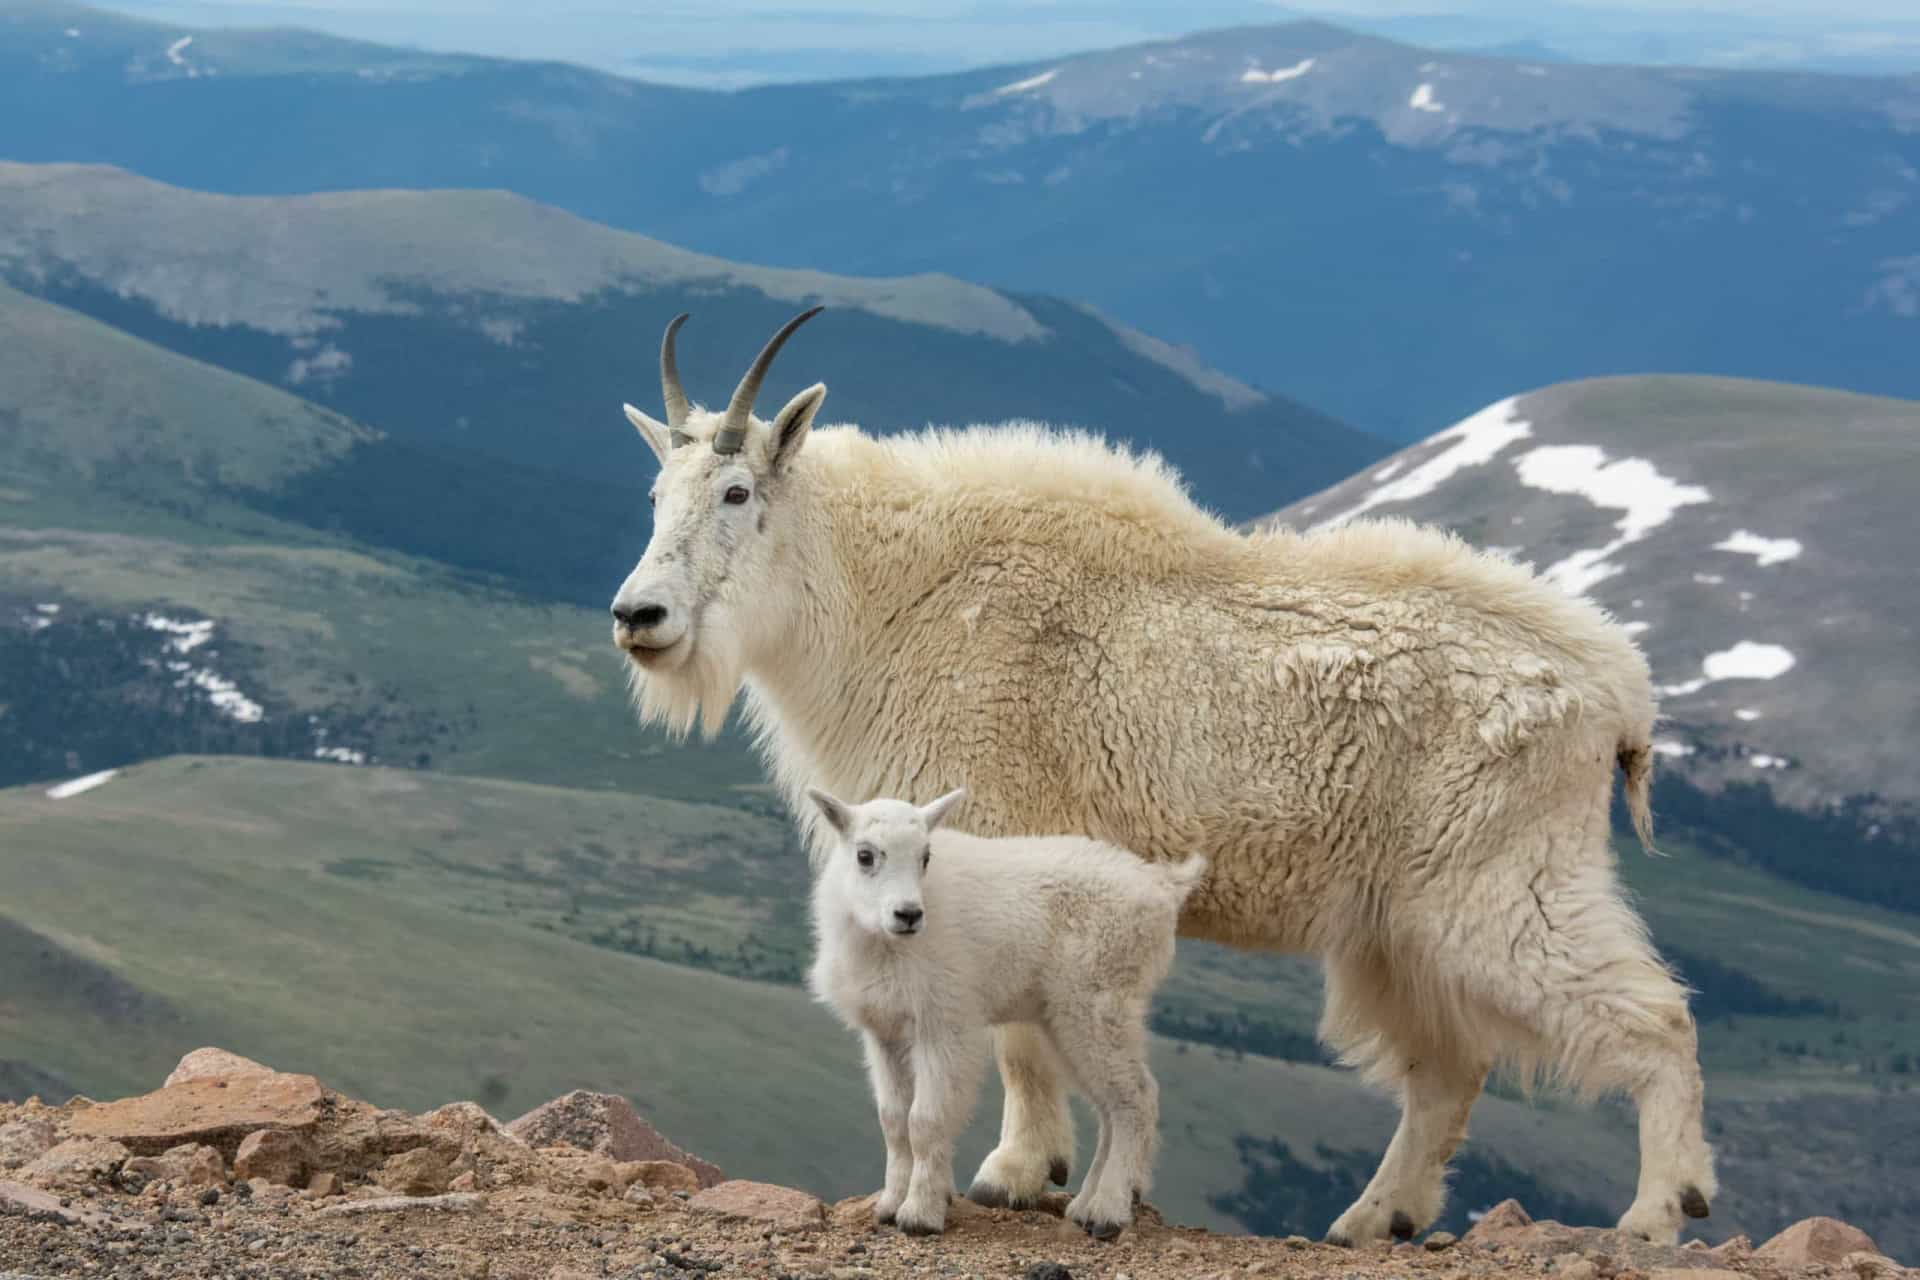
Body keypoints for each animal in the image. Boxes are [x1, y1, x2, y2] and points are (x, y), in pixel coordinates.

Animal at [606, 305, 1720, 1243]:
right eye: (655, 494)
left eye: (737, 492)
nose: (637, 616)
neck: (888, 593)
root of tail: (1618, 692)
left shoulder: (999, 836)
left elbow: (1017, 1037)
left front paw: (1017, 1172)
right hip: (1397, 924)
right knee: (1448, 1068)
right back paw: (1373, 1218)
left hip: (1498, 879)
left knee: (1652, 1016)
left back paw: (1660, 1209)